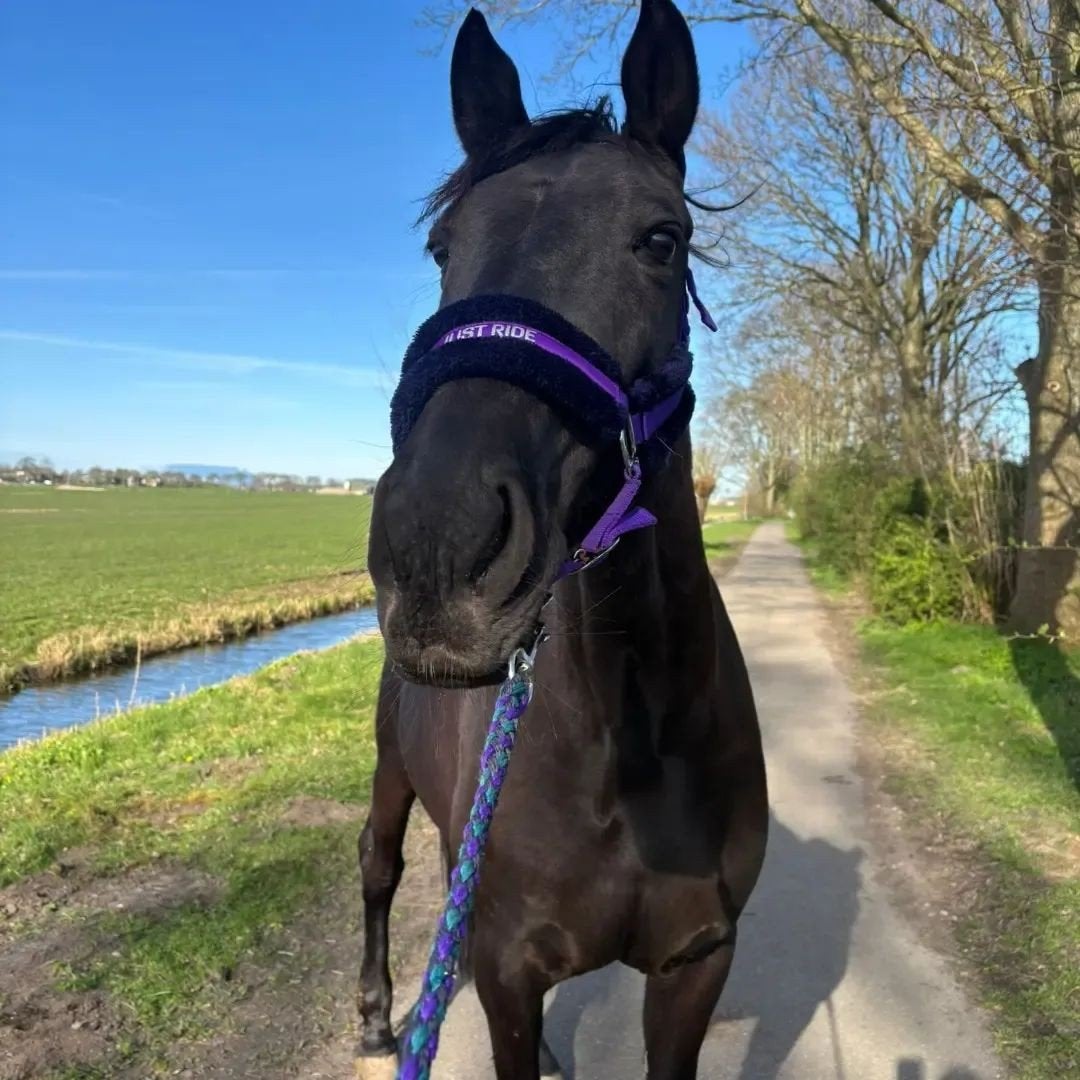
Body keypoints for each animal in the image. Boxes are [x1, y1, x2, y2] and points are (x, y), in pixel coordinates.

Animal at [357, 1, 768, 1076]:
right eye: (443, 247)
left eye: (662, 239)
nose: (435, 548)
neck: (634, 741)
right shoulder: (509, 973)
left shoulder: (697, 963)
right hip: (387, 774)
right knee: (378, 867)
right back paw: (374, 1012)